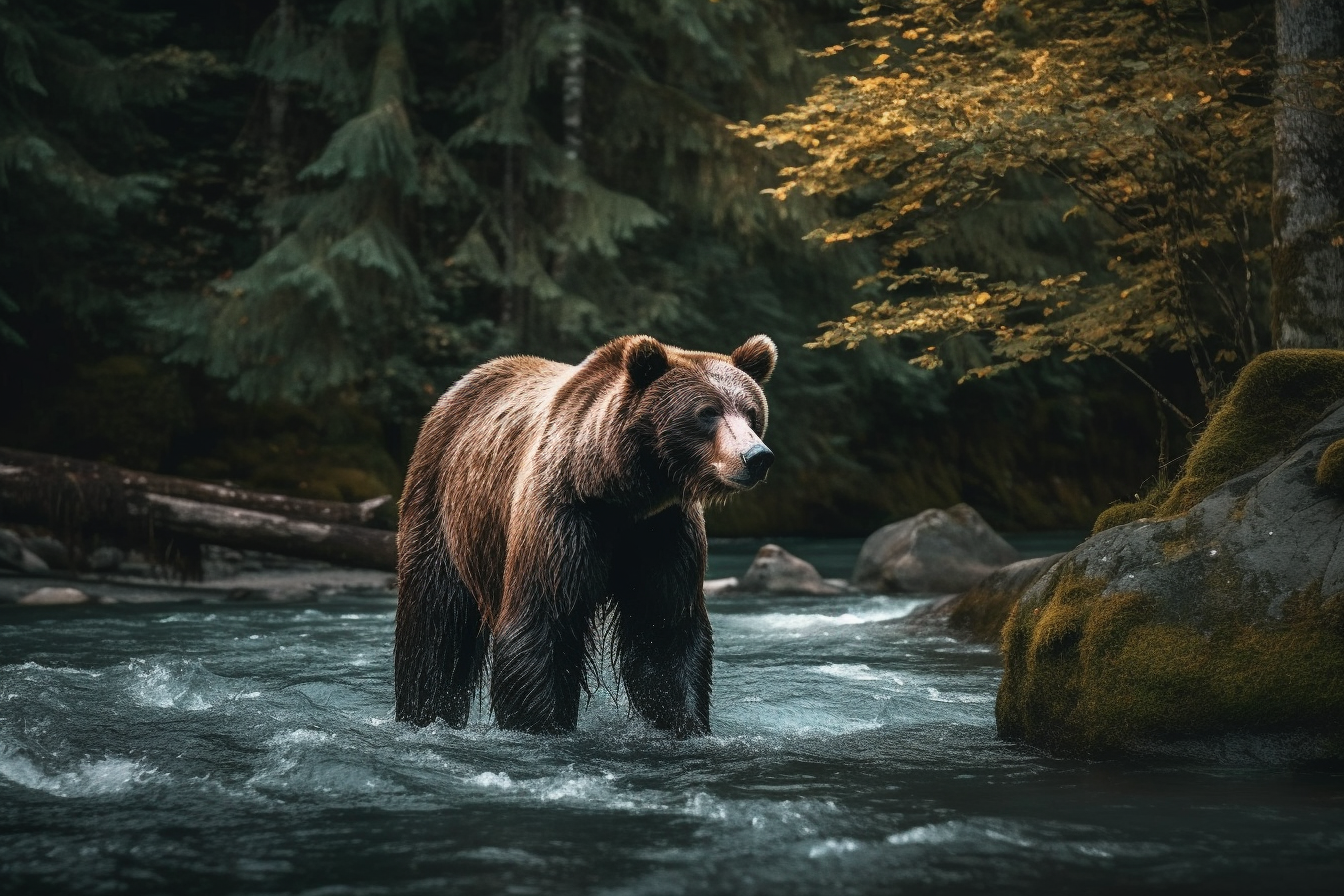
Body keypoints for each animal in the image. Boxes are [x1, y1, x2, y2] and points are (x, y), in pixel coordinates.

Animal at [392, 334, 779, 736]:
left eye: (751, 412)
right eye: (707, 412)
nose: (756, 456)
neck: (618, 494)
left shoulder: (662, 531)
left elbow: (666, 634)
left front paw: (684, 723)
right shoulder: (563, 517)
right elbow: (544, 627)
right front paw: (541, 723)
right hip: (442, 510)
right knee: (434, 626)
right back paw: (423, 712)